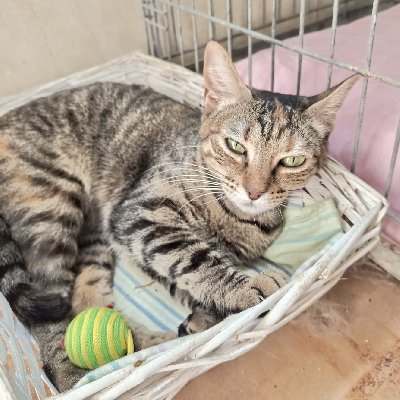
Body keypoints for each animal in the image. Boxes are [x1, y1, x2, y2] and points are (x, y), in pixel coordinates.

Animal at [0, 41, 358, 391]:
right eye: (235, 146)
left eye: (292, 161)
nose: (254, 192)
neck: (232, 217)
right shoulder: (141, 214)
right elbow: (194, 258)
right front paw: (246, 287)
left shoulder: (135, 239)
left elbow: (183, 276)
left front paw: (205, 315)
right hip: (51, 208)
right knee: (49, 310)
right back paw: (73, 374)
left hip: (93, 236)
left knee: (83, 299)